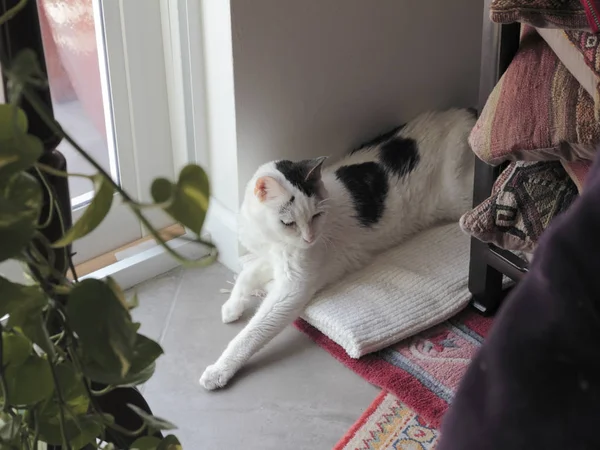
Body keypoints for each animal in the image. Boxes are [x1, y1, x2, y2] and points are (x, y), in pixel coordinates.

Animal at [199, 107, 476, 388]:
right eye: (289, 223)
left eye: (316, 216)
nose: (310, 238)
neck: (274, 239)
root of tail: (466, 113)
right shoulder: (271, 257)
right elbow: (246, 275)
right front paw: (232, 306)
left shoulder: (292, 288)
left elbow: (253, 332)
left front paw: (219, 370)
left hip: (460, 198)